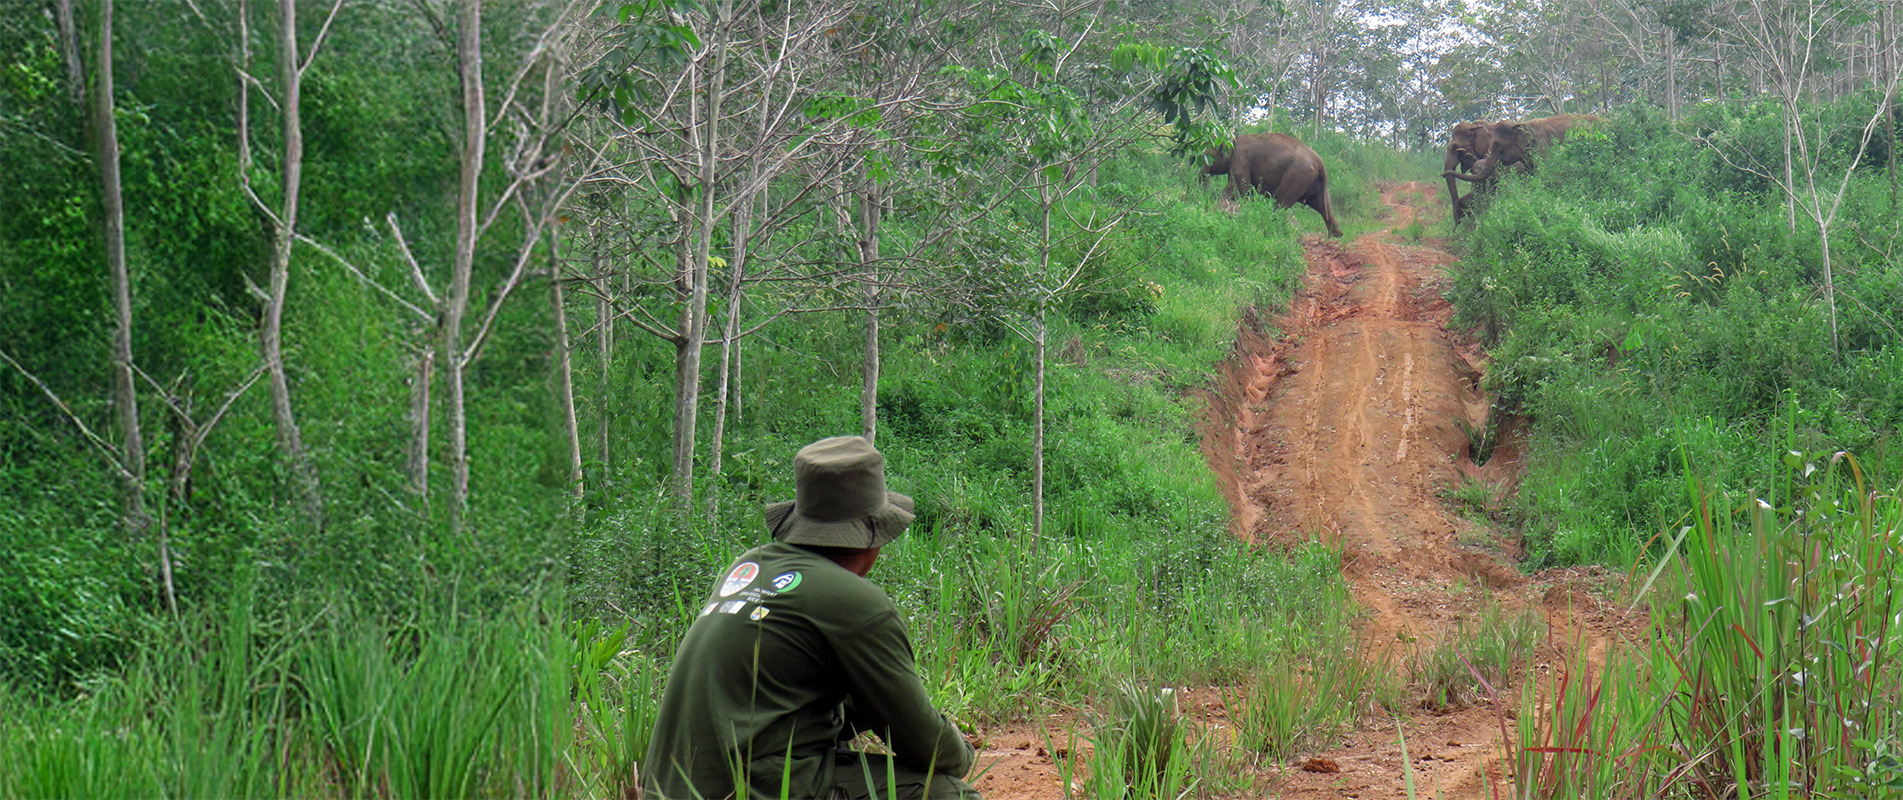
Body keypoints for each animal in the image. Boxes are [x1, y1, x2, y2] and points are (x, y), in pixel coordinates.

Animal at [1202, 132, 1344, 238]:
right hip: (1313, 182)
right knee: (1321, 204)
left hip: (1297, 176)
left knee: (1282, 200)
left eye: (1206, 156)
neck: (1232, 140)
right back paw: (1336, 234)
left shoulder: (1240, 160)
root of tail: (1321, 164)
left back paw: (1272, 225)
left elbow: (1241, 188)